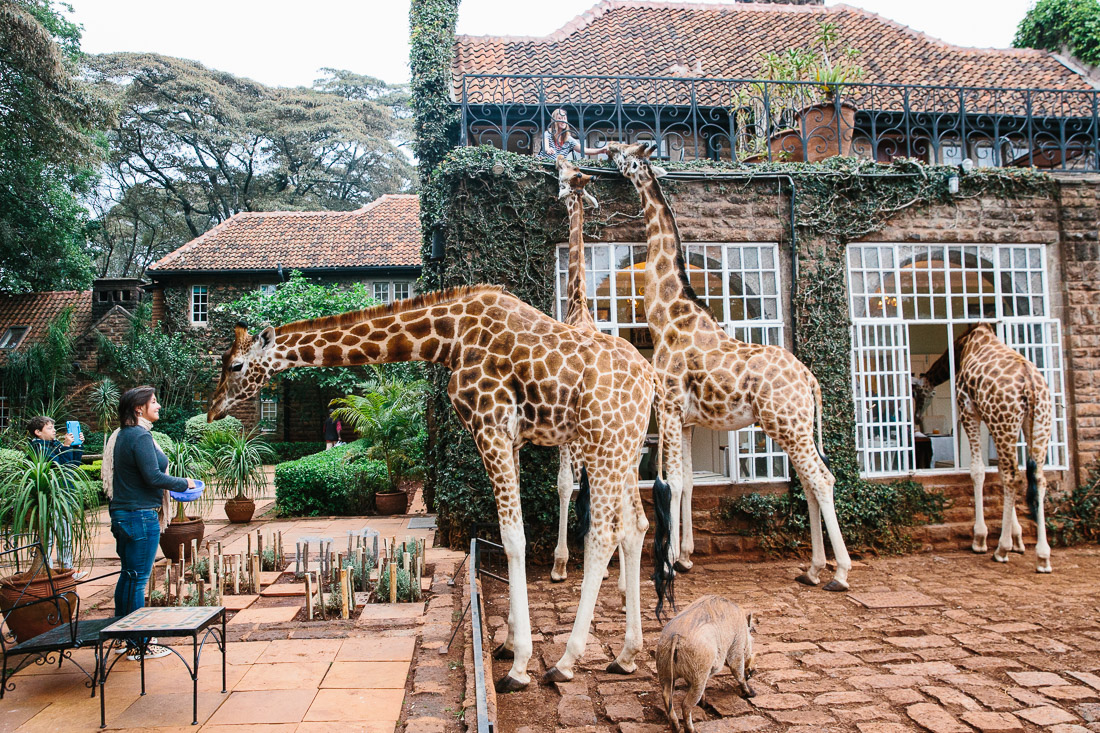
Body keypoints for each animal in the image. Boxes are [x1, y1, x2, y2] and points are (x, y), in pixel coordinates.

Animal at [206, 286, 677, 690]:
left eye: (235, 366)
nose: (212, 412)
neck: (448, 339)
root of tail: (652, 378)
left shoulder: (490, 428)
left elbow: (513, 538)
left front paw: (520, 665)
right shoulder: (512, 440)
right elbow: (514, 536)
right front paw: (507, 643)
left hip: (603, 442)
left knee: (603, 534)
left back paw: (564, 662)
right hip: (627, 446)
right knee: (635, 526)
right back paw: (627, 656)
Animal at [608, 141, 853, 591]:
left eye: (630, 155)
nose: (608, 149)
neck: (666, 315)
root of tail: (810, 378)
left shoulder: (668, 408)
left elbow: (671, 483)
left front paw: (668, 563)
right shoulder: (686, 419)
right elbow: (688, 482)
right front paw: (687, 557)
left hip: (786, 423)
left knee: (821, 479)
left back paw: (840, 573)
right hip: (793, 426)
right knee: (809, 481)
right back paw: (812, 569)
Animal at [913, 323, 1052, 571]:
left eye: (923, 393)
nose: (918, 416)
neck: (964, 346)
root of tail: (1030, 383)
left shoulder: (968, 409)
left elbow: (978, 470)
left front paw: (981, 538)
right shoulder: (991, 418)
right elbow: (997, 471)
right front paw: (1017, 538)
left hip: (1005, 422)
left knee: (1014, 477)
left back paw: (1001, 549)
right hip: (1037, 424)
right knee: (1035, 478)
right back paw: (1043, 556)